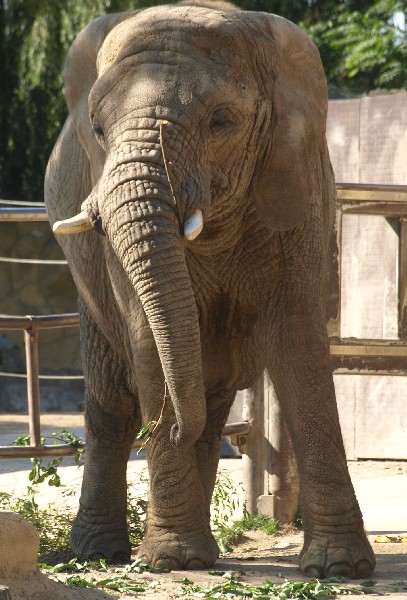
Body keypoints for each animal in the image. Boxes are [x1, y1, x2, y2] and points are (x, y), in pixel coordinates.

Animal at [45, 0, 376, 580]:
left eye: (221, 121)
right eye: (98, 129)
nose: (168, 429)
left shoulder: (295, 183)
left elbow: (297, 344)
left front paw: (340, 567)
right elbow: (150, 342)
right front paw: (171, 560)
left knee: (209, 393)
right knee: (114, 398)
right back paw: (102, 553)